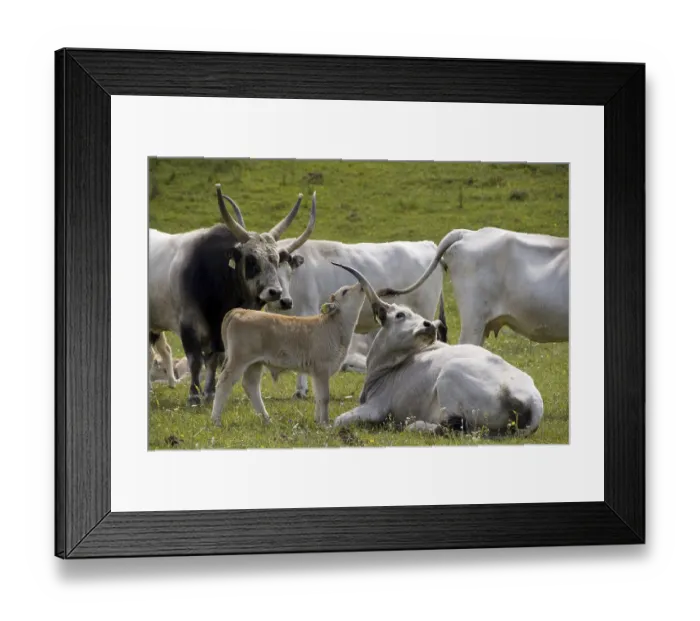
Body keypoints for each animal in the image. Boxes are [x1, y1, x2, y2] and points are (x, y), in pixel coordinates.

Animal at [148, 184, 316, 405]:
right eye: (251, 260)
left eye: (275, 260)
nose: (275, 292)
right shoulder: (188, 324)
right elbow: (195, 361)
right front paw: (194, 395)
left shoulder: (219, 332)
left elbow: (215, 359)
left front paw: (210, 393)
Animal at [332, 265, 544, 437]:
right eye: (400, 315)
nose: (428, 325)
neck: (385, 369)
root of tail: (531, 401)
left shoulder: (377, 406)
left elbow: (337, 421)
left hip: (450, 377)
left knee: (452, 427)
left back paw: (414, 425)